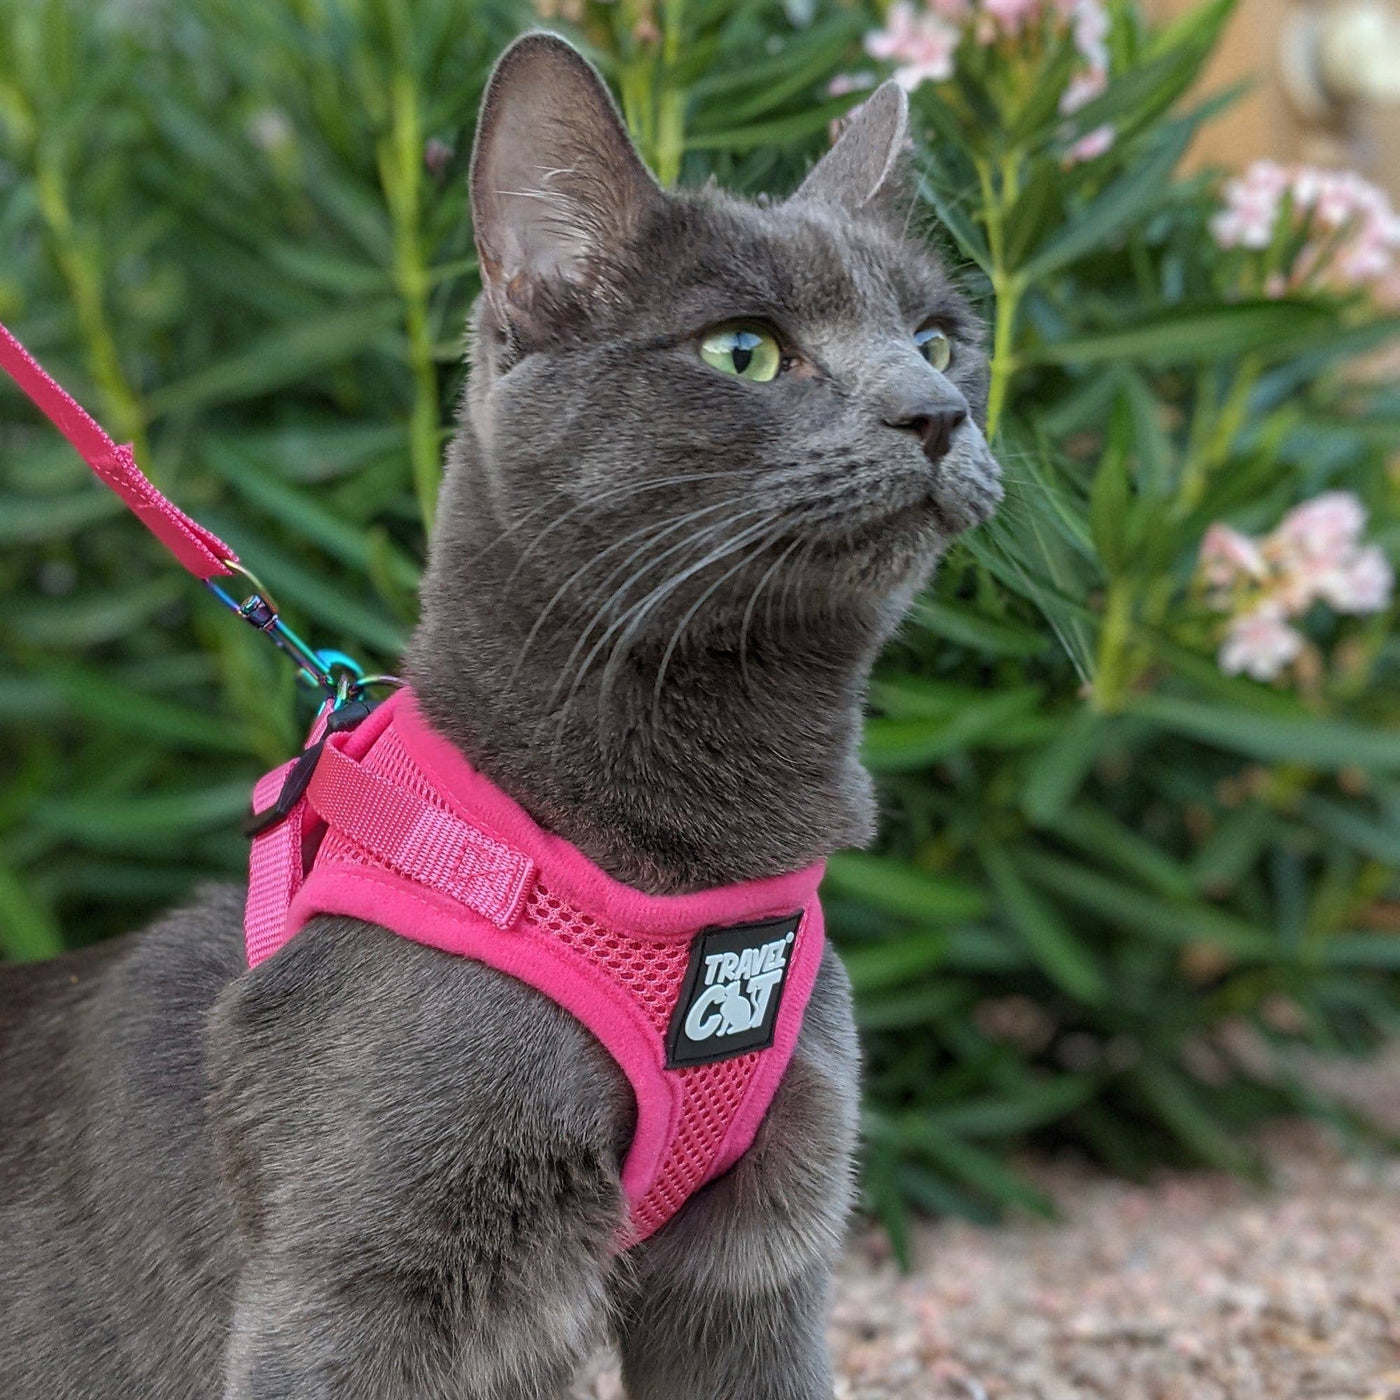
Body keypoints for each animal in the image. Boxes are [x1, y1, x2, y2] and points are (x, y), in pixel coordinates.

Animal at [0, 32, 996, 1400]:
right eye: (743, 350)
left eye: (938, 342)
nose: (935, 412)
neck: (689, 867)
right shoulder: (351, 1291)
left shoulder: (760, 1253)